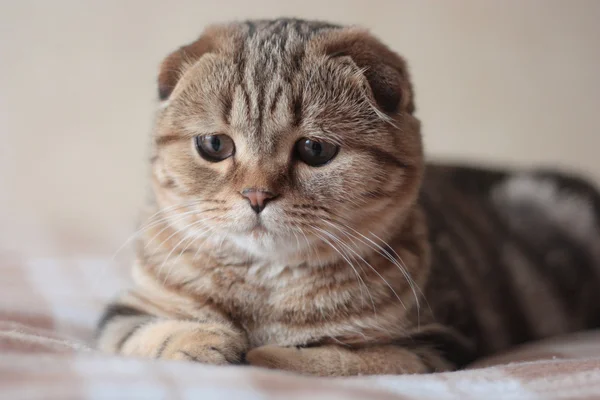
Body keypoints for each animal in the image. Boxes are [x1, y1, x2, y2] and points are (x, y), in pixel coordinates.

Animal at [96, 18, 600, 376]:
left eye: (315, 150)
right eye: (215, 145)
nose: (256, 195)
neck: (267, 285)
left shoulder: (434, 344)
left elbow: (338, 360)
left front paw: (266, 354)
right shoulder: (129, 310)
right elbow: (144, 332)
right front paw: (207, 341)